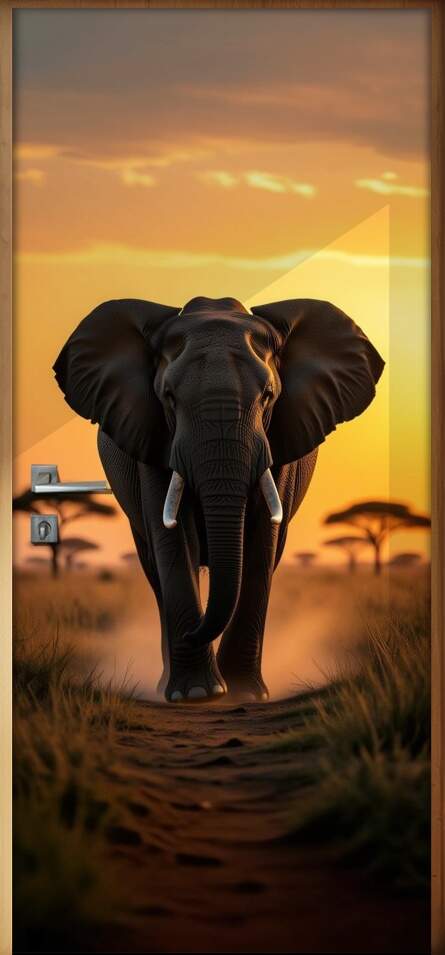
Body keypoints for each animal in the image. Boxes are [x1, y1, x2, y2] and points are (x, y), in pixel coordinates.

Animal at [53, 295, 384, 703]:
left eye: (268, 396)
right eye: (169, 397)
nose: (194, 633)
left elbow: (260, 545)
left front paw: (243, 694)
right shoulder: (152, 436)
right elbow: (174, 539)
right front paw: (197, 694)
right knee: (155, 569)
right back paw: (169, 682)